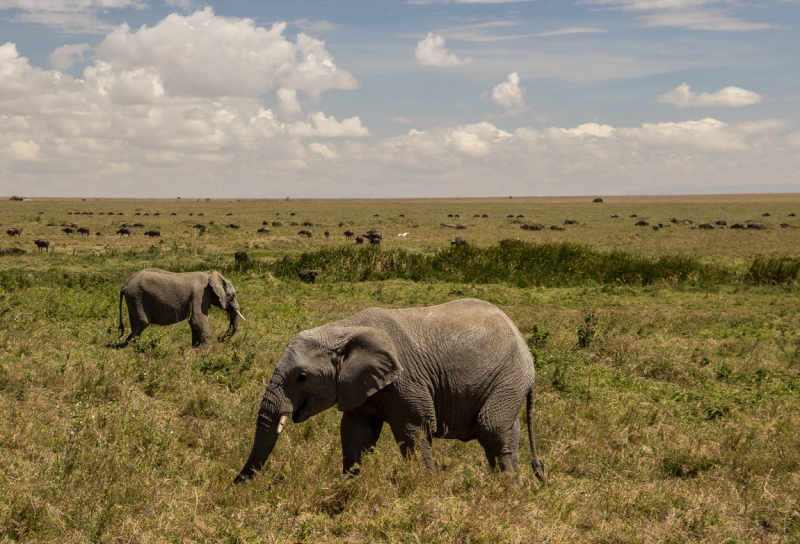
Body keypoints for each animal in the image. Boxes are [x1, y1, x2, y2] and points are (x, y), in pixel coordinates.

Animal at [234, 300, 548, 482]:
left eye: (301, 377)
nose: (234, 485)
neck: (343, 329)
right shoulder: (358, 384)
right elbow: (356, 432)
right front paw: (350, 486)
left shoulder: (407, 381)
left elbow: (413, 431)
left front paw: (424, 490)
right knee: (506, 432)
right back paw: (510, 488)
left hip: (508, 376)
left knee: (491, 428)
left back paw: (506, 492)